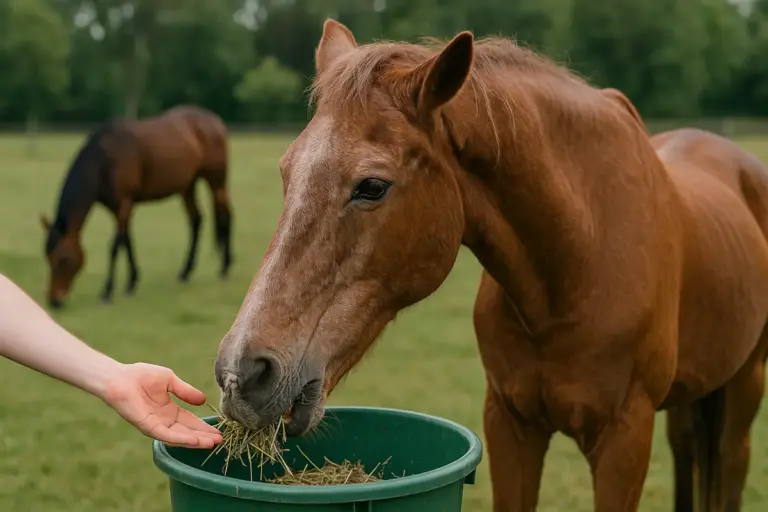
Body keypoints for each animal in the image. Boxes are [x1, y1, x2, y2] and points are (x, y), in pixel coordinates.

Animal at [41, 105, 234, 309]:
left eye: (64, 259)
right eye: (48, 257)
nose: (55, 301)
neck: (105, 159)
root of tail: (215, 121)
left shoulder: (124, 204)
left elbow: (115, 246)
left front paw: (107, 292)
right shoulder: (120, 209)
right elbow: (127, 241)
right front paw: (132, 282)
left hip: (216, 181)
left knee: (225, 215)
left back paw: (225, 268)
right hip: (188, 186)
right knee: (196, 220)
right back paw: (185, 272)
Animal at [213, 20, 768, 512]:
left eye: (371, 186)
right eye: (286, 171)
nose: (242, 374)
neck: (577, 268)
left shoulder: (624, 441)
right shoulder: (509, 426)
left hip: (744, 392)